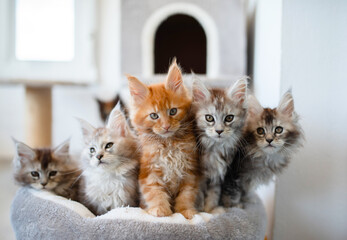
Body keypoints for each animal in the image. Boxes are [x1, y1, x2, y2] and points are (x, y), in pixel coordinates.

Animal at [128, 59, 200, 219]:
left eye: (173, 111)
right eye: (154, 115)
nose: (166, 126)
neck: (169, 144)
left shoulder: (189, 171)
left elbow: (186, 195)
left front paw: (185, 211)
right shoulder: (149, 172)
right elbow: (155, 193)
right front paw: (160, 210)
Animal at [193, 77, 247, 212]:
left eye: (229, 118)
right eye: (209, 118)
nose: (219, 131)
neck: (215, 149)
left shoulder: (217, 176)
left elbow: (213, 195)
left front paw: (211, 210)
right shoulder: (199, 176)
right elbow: (198, 194)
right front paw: (199, 211)